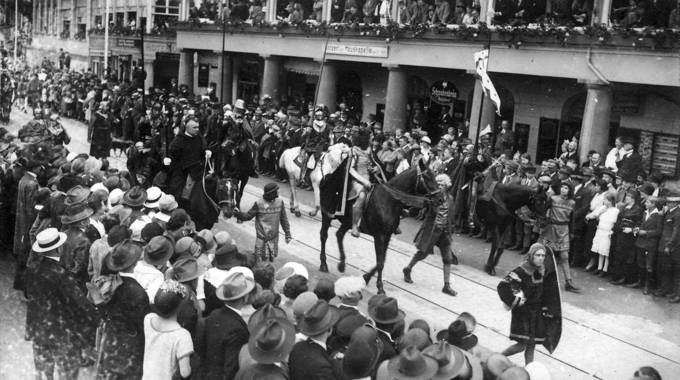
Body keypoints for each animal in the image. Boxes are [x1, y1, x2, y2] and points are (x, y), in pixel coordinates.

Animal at [318, 159, 436, 296]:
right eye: (427, 176)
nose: (441, 197)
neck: (390, 201)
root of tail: (327, 177)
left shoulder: (387, 236)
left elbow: (382, 260)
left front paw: (366, 278)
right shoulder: (379, 236)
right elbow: (380, 263)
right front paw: (380, 287)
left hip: (347, 222)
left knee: (339, 235)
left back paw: (342, 264)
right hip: (327, 214)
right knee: (324, 236)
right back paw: (324, 264)